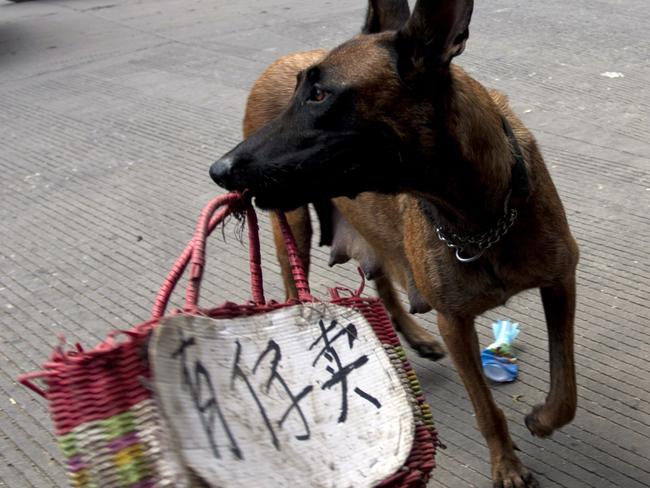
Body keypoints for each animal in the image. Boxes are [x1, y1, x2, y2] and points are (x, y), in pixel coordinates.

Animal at [209, 1, 576, 486]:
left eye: (320, 95)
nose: (219, 170)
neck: (482, 213)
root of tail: (277, 61)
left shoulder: (561, 282)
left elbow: (566, 386)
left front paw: (542, 419)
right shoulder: (455, 322)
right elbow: (486, 409)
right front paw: (506, 464)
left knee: (381, 277)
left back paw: (414, 336)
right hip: (292, 226)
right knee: (295, 289)